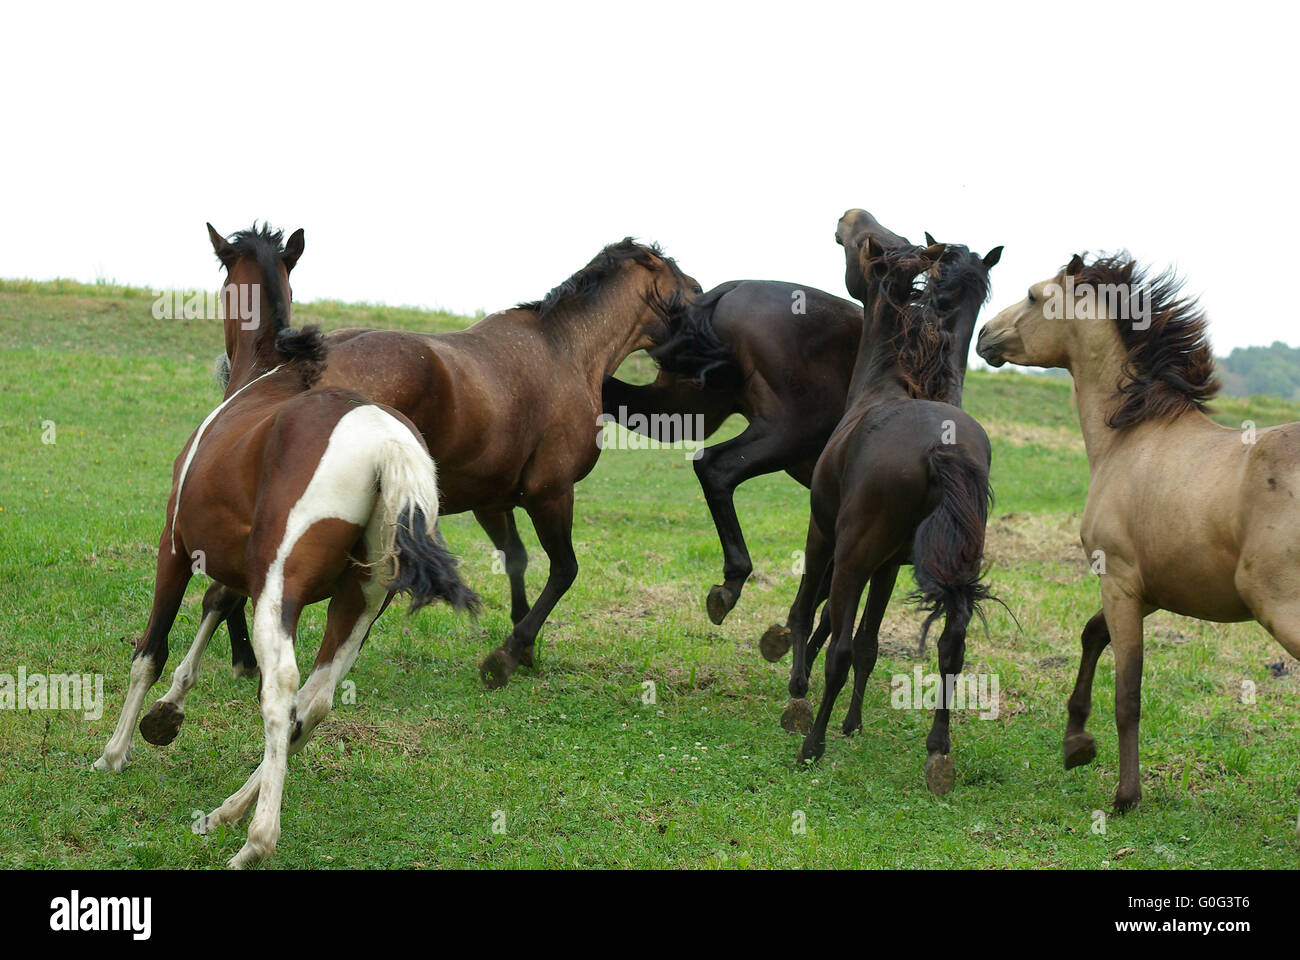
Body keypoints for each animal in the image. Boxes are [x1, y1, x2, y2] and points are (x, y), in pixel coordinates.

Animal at [91, 226, 478, 868]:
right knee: (314, 703)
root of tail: (386, 444)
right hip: (359, 604)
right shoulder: (233, 565)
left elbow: (150, 652)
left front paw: (116, 751)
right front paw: (168, 714)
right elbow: (215, 608)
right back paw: (226, 811)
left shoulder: (177, 549)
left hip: (280, 594)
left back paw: (254, 840)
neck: (266, 377)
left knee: (284, 692)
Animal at [603, 208, 998, 629]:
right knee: (715, 467)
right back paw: (733, 581)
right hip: (786, 433)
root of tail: (733, 288)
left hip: (684, 408)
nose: (851, 216)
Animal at [769, 234, 993, 790]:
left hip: (851, 553)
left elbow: (811, 612)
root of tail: (941, 447)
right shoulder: (890, 565)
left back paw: (812, 745)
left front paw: (797, 693)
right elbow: (870, 644)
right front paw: (852, 722)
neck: (884, 385)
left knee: (839, 648)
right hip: (946, 564)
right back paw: (938, 752)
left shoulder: (824, 535)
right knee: (949, 650)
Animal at [977, 254, 1300, 832]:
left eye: (1034, 296)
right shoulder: (1149, 590)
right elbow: (1091, 636)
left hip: (1282, 609)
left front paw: (1125, 796)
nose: (983, 336)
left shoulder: (1121, 583)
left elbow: (1128, 693)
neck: (1132, 434)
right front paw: (1077, 744)